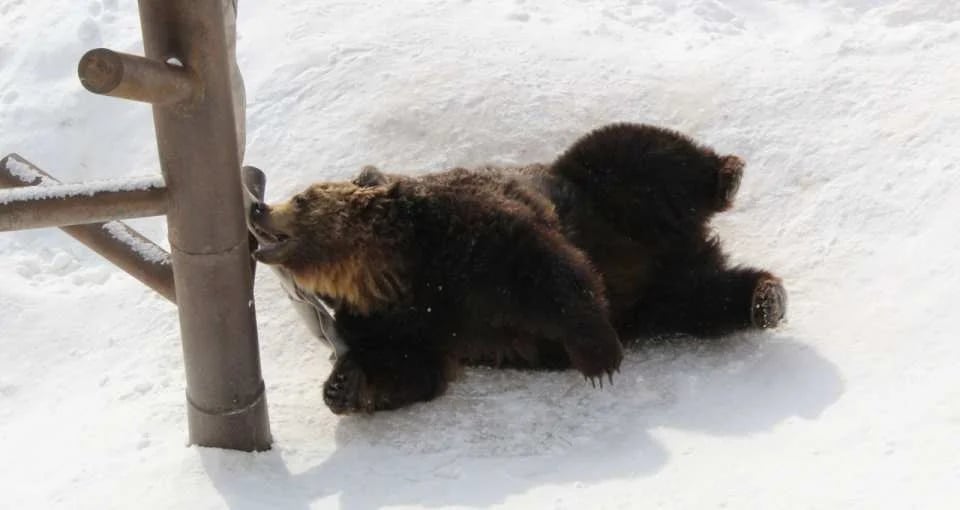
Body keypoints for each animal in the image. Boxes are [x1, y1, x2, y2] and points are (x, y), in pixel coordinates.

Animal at [249, 123, 786, 414]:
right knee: (702, 298)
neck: (389, 270)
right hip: (659, 298)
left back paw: (727, 176)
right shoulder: (401, 320)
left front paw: (599, 358)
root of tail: (683, 246)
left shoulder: (468, 236)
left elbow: (547, 272)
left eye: (301, 197)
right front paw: (342, 385)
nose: (258, 210)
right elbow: (412, 367)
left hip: (603, 195)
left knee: (632, 151)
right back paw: (762, 298)